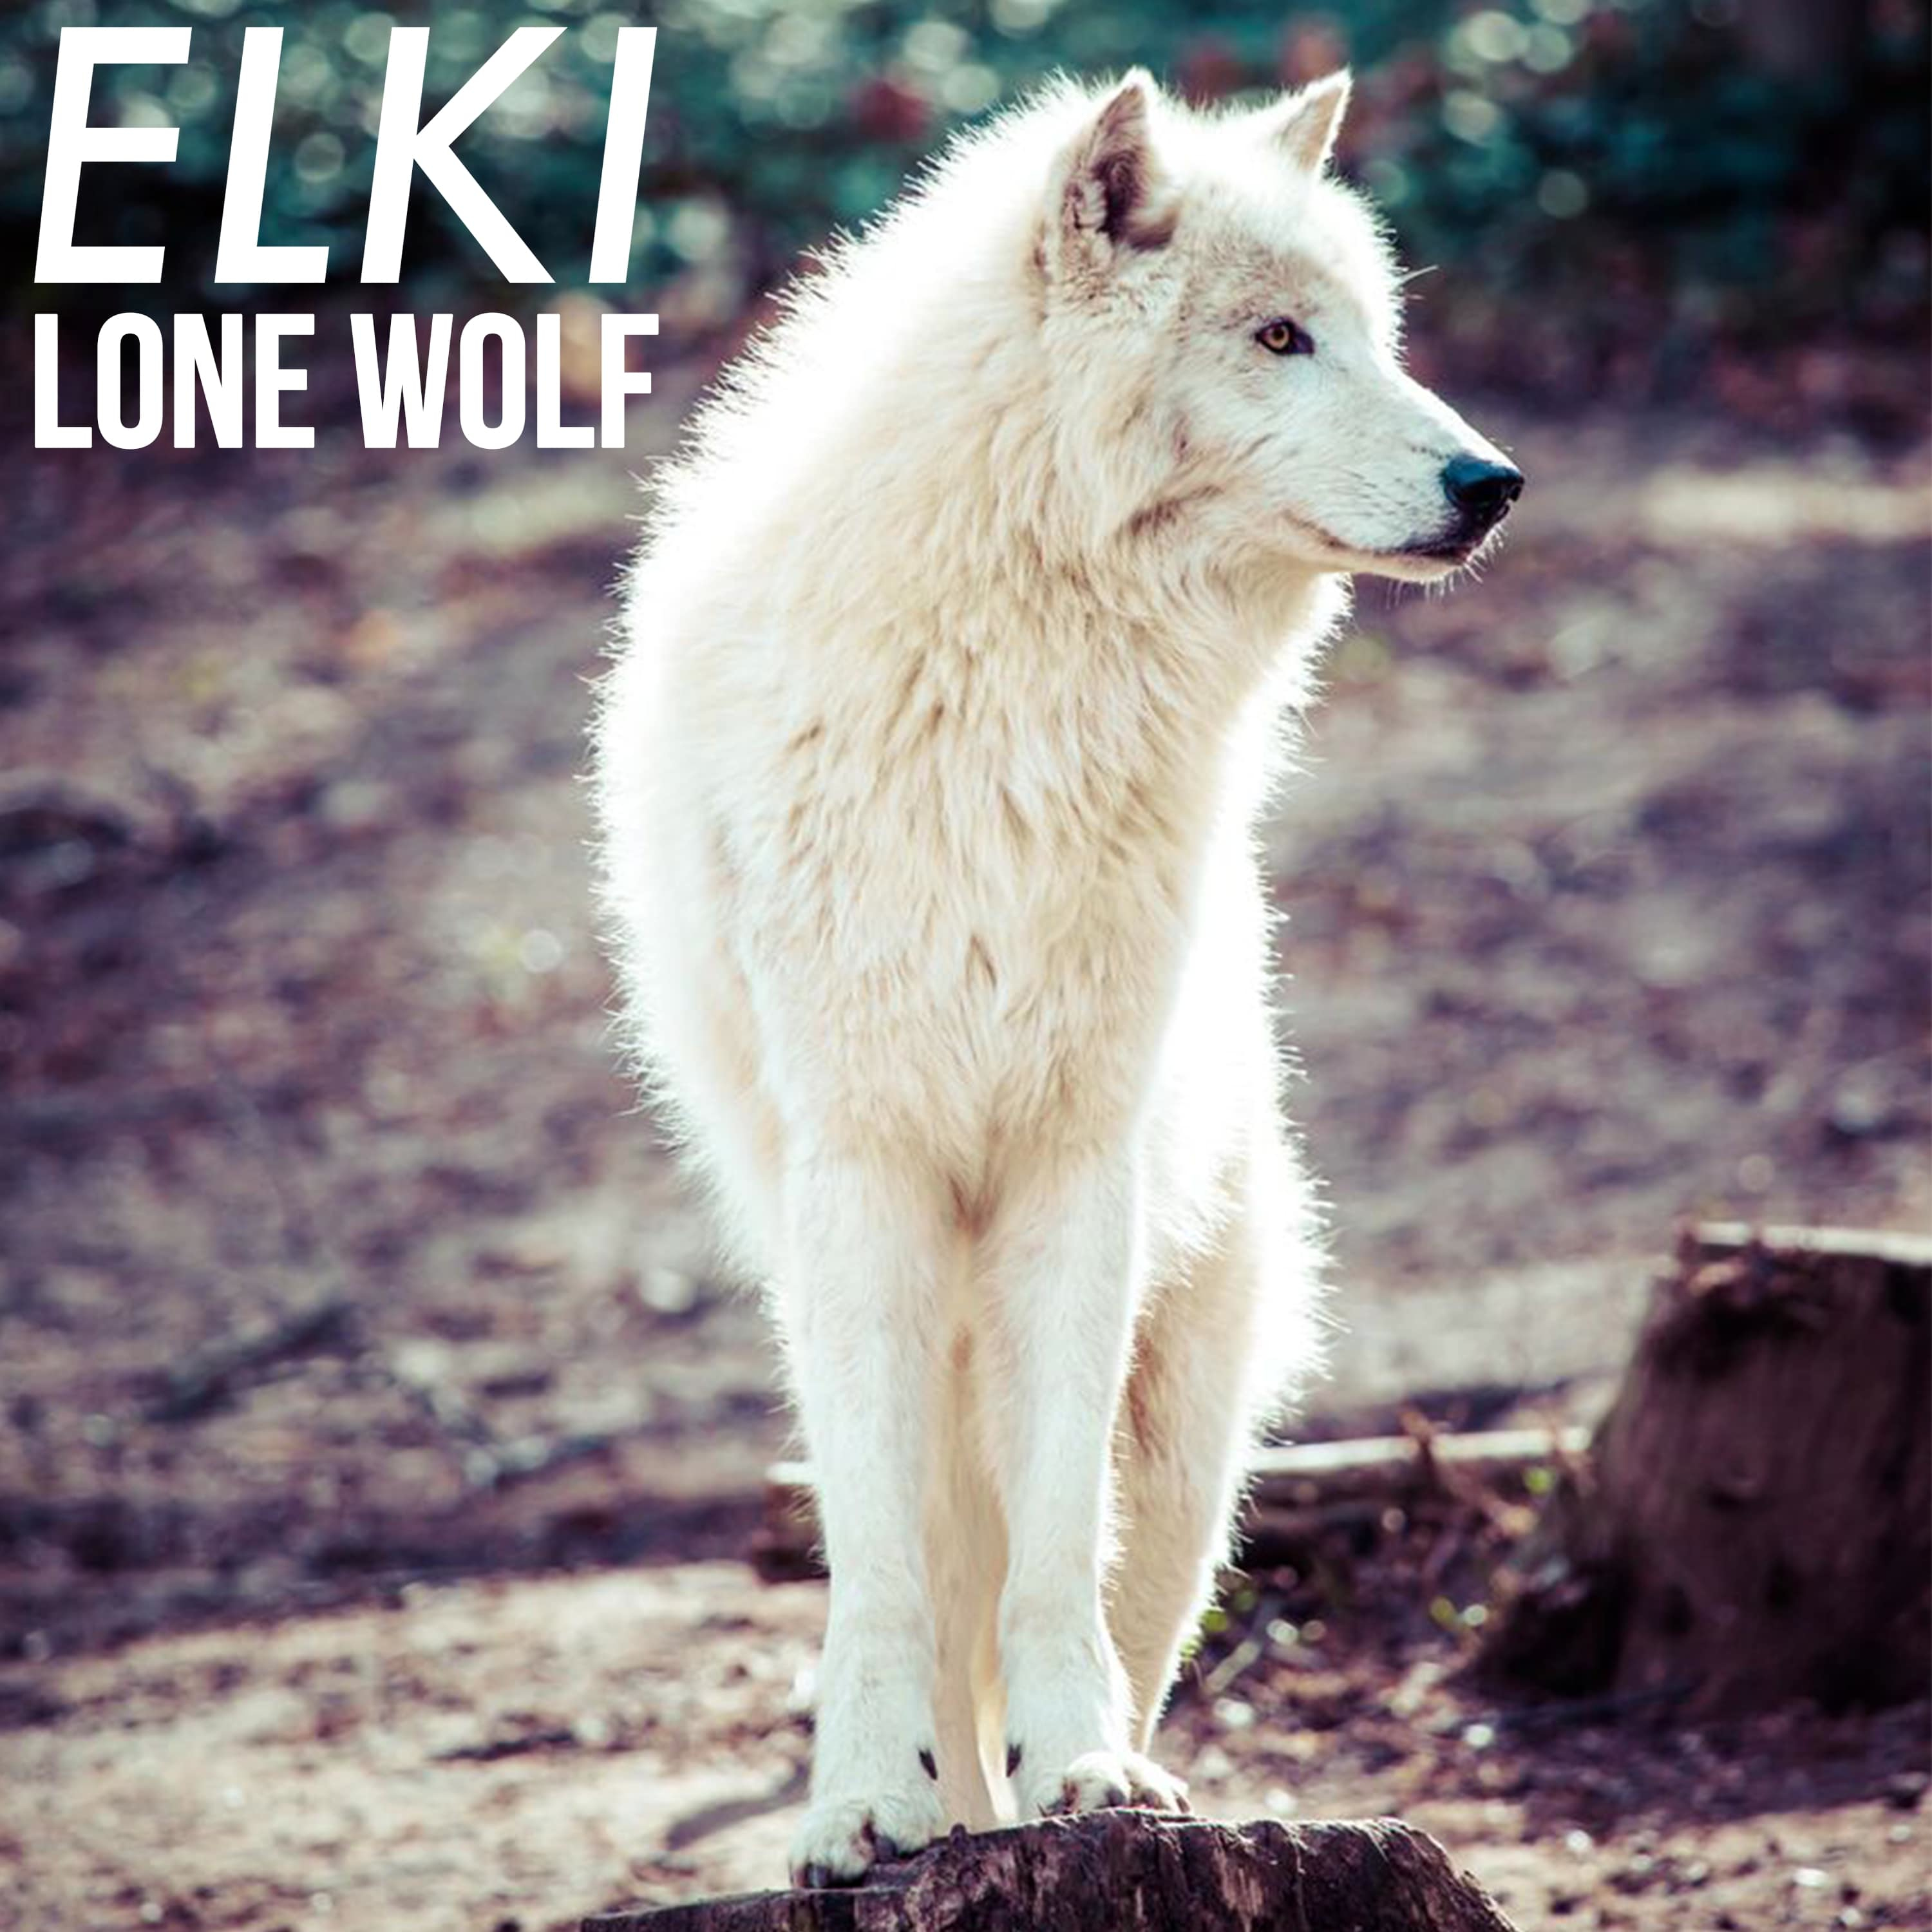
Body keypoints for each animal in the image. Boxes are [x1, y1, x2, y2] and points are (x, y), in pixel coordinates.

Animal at [592, 68, 1520, 1885]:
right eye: (1281, 337)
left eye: (1374, 335)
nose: (1493, 480)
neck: (1023, 676)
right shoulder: (867, 1169)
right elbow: (879, 1582)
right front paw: (855, 1808)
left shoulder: (1072, 1162)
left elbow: (1054, 1558)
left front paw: (1087, 1773)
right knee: (930, 1570)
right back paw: (943, 1811)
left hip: (1188, 1441)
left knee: (1105, 1585)